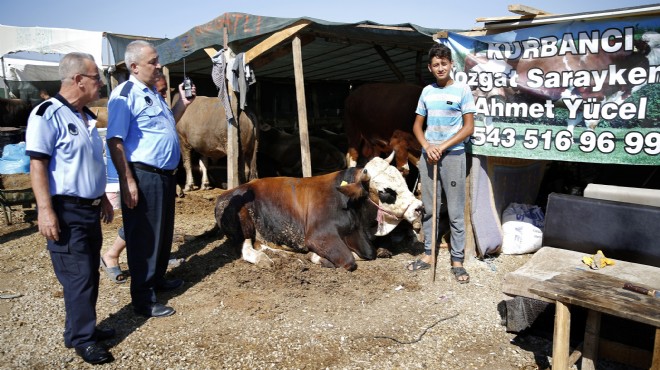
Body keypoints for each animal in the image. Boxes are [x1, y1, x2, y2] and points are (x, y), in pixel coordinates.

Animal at [214, 153, 426, 272]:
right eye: (385, 191)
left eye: (403, 180)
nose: (419, 207)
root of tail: (226, 193)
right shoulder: (318, 236)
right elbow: (349, 259)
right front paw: (315, 257)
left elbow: (374, 252)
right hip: (243, 223)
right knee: (245, 248)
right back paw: (264, 259)